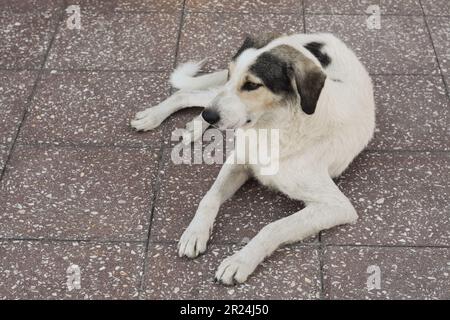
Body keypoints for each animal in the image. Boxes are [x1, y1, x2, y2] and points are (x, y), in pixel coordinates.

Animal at [131, 33, 376, 284]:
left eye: (252, 85)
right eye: (231, 74)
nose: (210, 116)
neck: (272, 129)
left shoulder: (336, 206)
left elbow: (273, 228)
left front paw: (240, 261)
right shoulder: (238, 160)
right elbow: (209, 198)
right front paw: (195, 232)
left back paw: (195, 125)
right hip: (215, 97)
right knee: (189, 95)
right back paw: (160, 117)